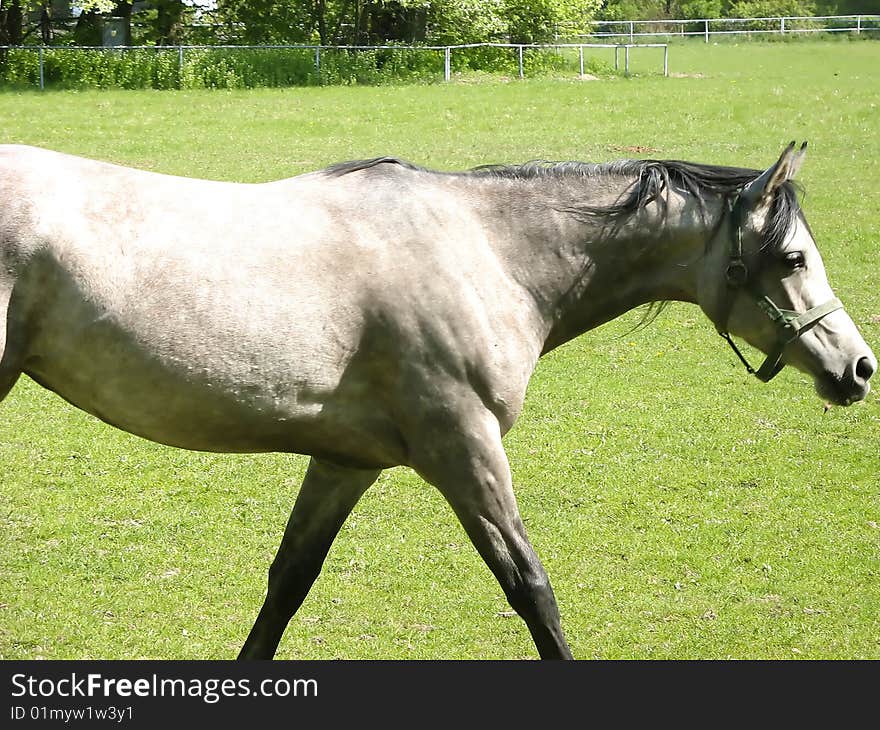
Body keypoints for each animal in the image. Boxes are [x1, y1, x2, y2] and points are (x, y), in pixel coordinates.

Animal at [0, 142, 872, 660]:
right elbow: (533, 591)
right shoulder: (464, 450)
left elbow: (287, 584)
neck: (486, 252)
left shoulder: (344, 463)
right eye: (793, 258)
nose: (858, 368)